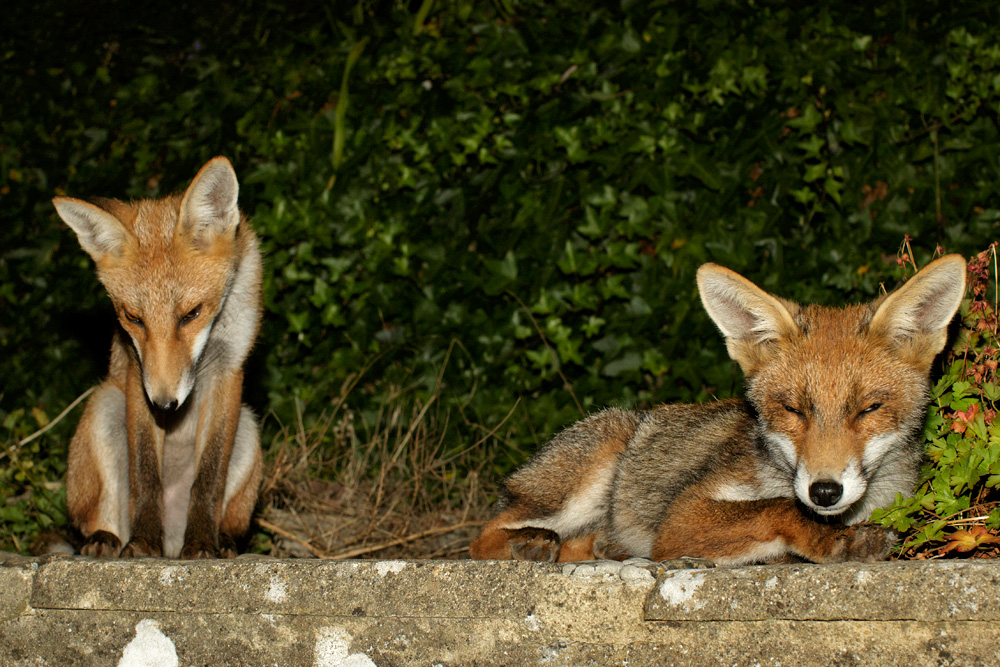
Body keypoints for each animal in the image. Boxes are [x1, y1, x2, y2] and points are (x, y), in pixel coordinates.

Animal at [52, 156, 263, 559]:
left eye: (192, 313)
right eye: (134, 318)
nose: (166, 405)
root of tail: (172, 545)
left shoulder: (229, 369)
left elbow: (210, 478)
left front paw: (202, 544)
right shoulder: (138, 374)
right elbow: (145, 474)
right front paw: (143, 543)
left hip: (247, 425)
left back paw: (224, 541)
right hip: (105, 406)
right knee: (97, 519)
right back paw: (106, 539)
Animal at [470, 254, 967, 565]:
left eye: (869, 408)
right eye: (792, 409)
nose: (824, 492)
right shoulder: (681, 518)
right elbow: (777, 508)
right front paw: (831, 541)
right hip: (597, 460)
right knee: (482, 537)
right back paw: (528, 544)